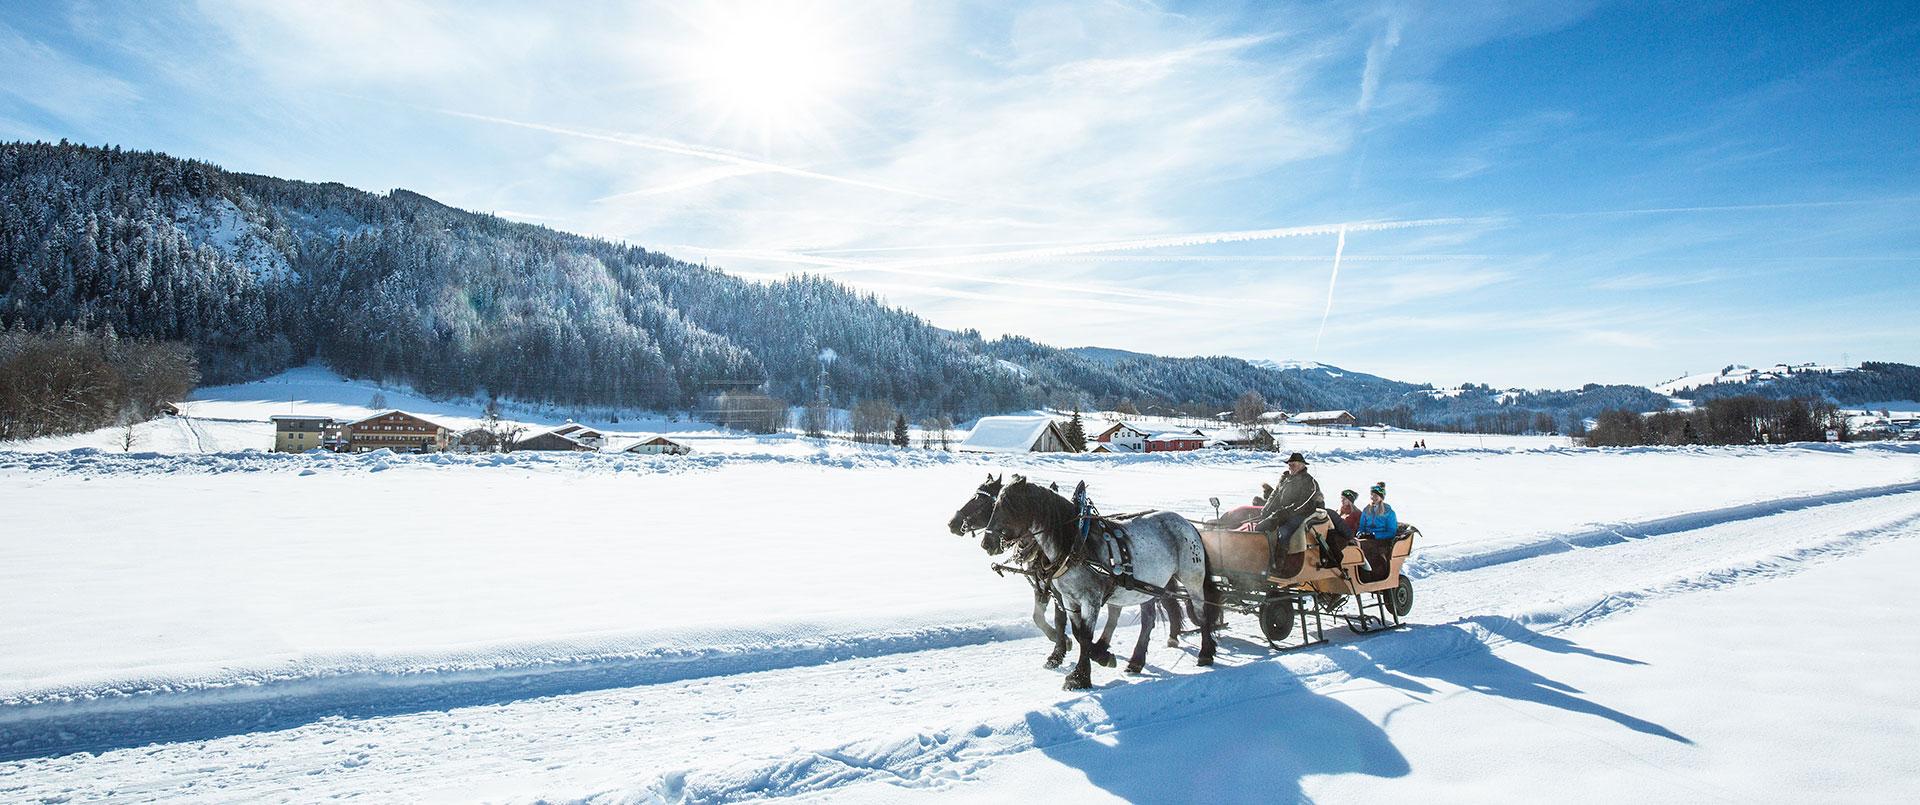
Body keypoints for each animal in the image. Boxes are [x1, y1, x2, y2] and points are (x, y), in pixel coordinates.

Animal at [948, 476, 1182, 672]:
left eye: (980, 500)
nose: (952, 524)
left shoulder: (1058, 591)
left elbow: (1060, 621)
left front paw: (1061, 649)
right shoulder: (1044, 587)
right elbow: (1039, 617)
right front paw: (1064, 646)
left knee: (1148, 618)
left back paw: (1137, 657)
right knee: (1119, 612)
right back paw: (1109, 646)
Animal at [983, 476, 1221, 691]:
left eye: (1009, 506)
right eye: (994, 505)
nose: (987, 543)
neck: (1075, 543)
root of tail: (1187, 523)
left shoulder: (1091, 600)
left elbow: (1085, 636)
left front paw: (1079, 677)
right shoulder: (1069, 599)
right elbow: (1077, 633)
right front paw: (1097, 656)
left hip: (1192, 578)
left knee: (1202, 612)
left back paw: (1206, 653)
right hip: (1146, 586)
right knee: (1148, 620)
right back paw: (1136, 661)